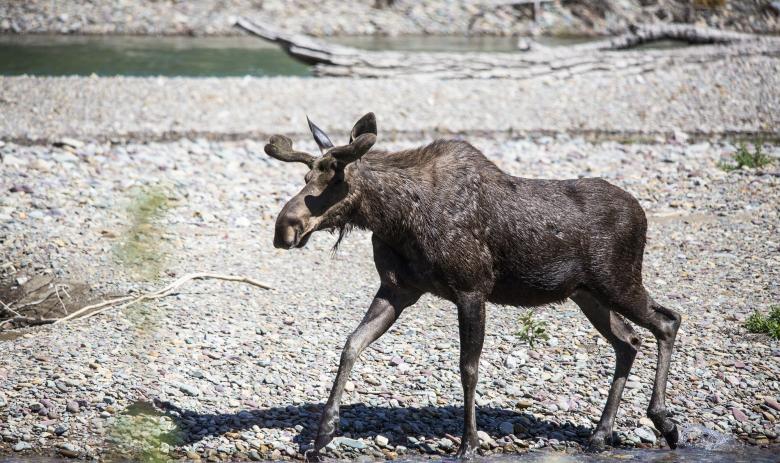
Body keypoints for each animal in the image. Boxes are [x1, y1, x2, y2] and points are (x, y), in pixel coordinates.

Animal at [264, 113, 681, 459]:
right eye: (306, 178)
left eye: (337, 179)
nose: (284, 228)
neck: (395, 218)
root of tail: (643, 215)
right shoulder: (397, 290)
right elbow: (351, 344)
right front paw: (323, 433)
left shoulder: (471, 289)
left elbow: (468, 368)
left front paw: (469, 444)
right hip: (587, 294)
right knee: (629, 341)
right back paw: (601, 433)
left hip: (617, 281)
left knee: (667, 320)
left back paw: (664, 421)